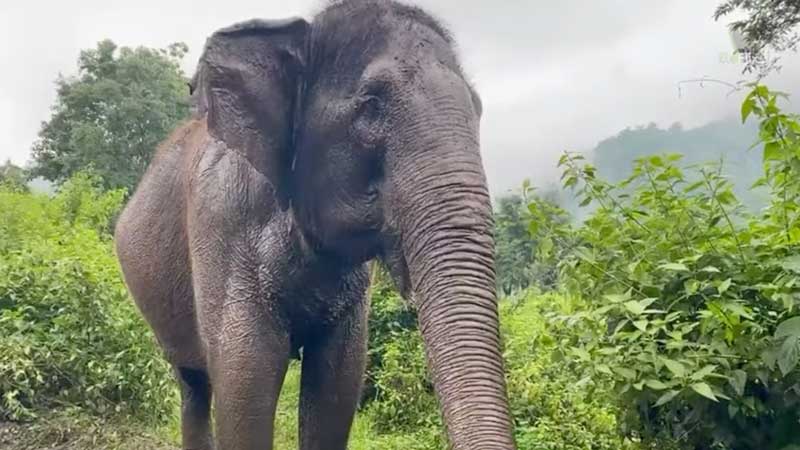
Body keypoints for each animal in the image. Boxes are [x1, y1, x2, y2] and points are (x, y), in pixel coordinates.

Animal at [114, 0, 520, 450]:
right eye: (370, 105)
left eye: (478, 109)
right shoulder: (222, 225)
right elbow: (244, 395)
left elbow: (335, 391)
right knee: (195, 385)